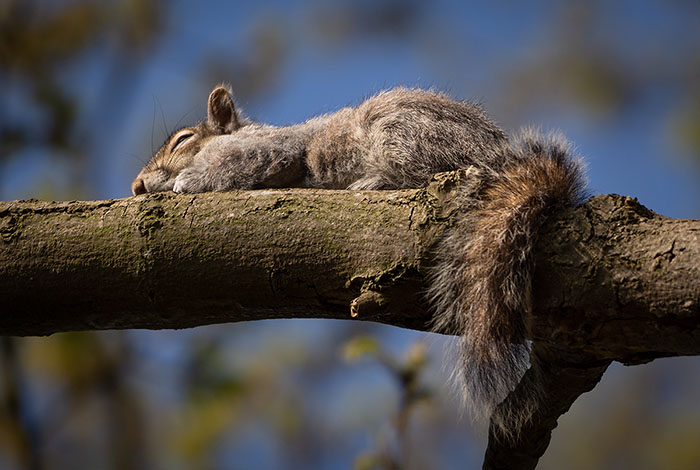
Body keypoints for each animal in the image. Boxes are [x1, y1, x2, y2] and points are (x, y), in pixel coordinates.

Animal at [130, 83, 584, 436]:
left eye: (183, 139)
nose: (136, 186)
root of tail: (497, 154)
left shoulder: (272, 150)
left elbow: (243, 164)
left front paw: (190, 180)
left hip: (405, 135)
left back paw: (376, 180)